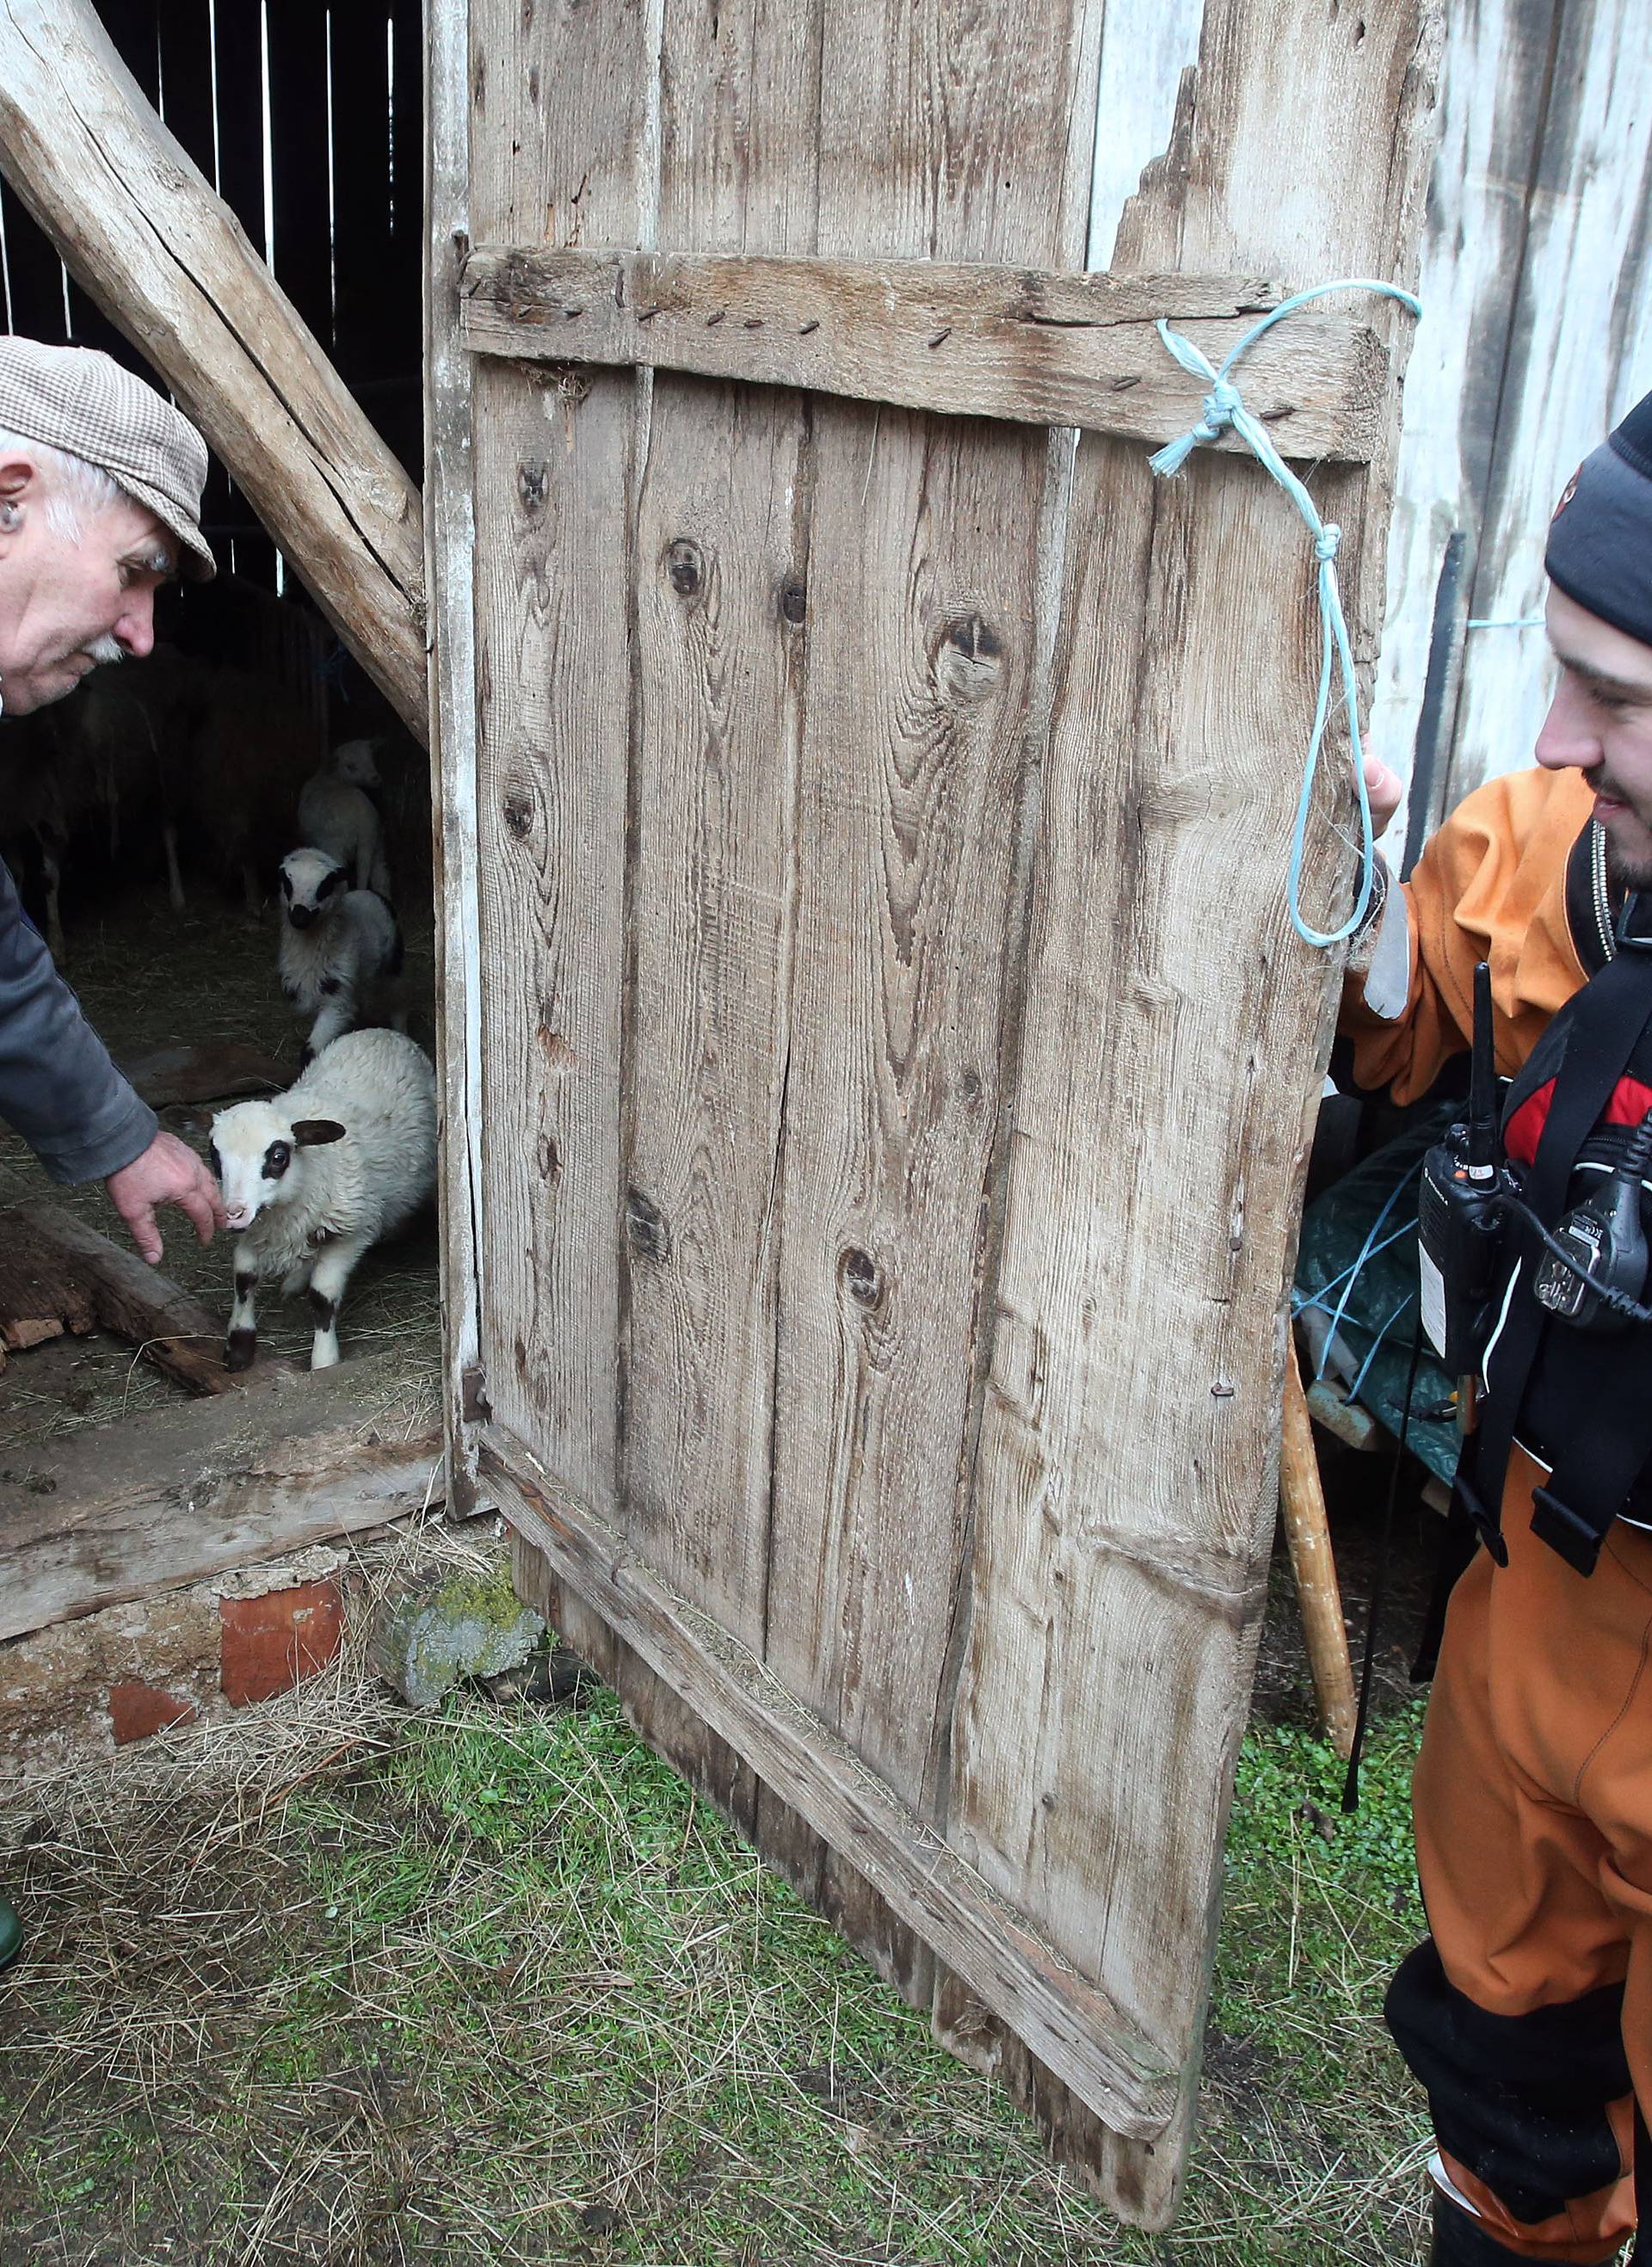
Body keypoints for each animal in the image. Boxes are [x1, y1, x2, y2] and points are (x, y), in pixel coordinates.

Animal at [209, 1033, 435, 1378]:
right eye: (215, 1157)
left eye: (278, 1157)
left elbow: (323, 1298)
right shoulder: (255, 1229)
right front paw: (239, 1345)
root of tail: (382, 1033)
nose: (233, 1213)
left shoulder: (351, 1234)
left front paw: (324, 1359)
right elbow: (244, 1279)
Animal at [278, 847, 403, 1065]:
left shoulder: (337, 1001)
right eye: (288, 882)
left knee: (398, 1004)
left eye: (325, 885)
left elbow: (310, 1052)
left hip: (393, 967)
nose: (299, 917)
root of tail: (371, 893)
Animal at [299, 734, 391, 893]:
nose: (376, 778)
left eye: (371, 759)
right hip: (374, 842)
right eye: (350, 766)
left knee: (343, 886)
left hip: (334, 846)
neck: (332, 779)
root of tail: (361, 818)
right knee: (380, 875)